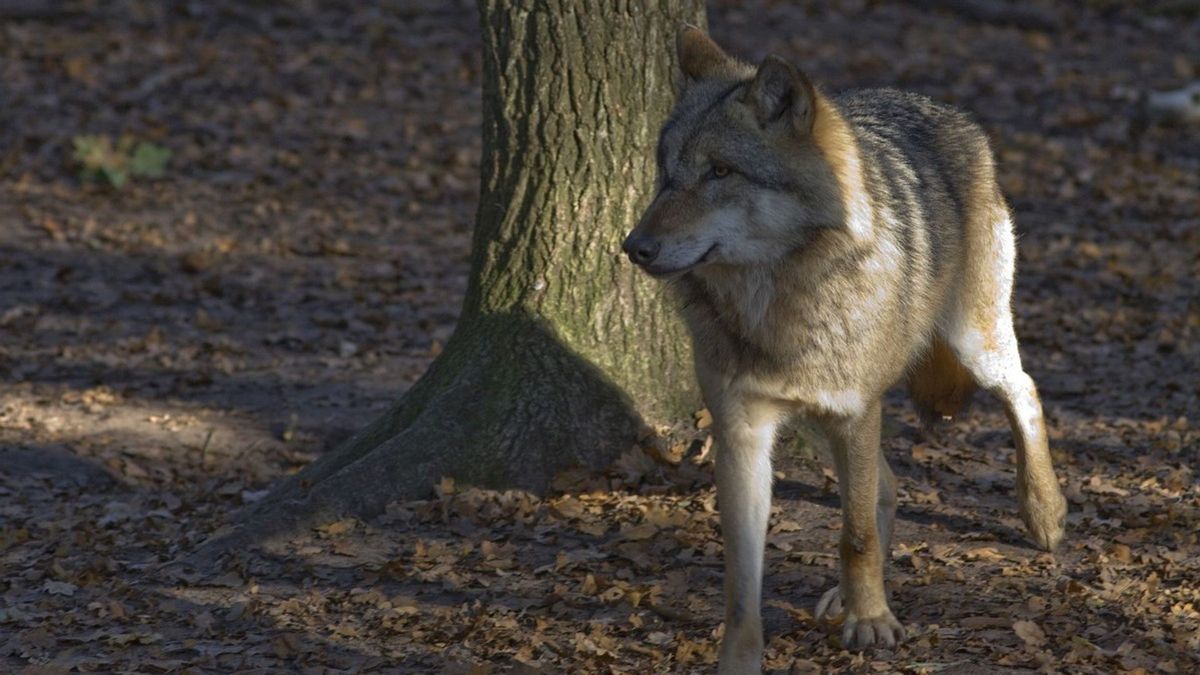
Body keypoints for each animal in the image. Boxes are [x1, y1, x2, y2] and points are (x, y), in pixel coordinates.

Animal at [623, 26, 1068, 672]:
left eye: (720, 171)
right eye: (666, 173)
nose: (634, 246)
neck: (782, 301)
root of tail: (947, 110)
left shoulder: (855, 411)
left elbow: (855, 534)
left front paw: (872, 621)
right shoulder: (743, 431)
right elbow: (741, 581)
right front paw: (741, 657)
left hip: (972, 340)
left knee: (1026, 393)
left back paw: (1044, 512)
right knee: (890, 485)